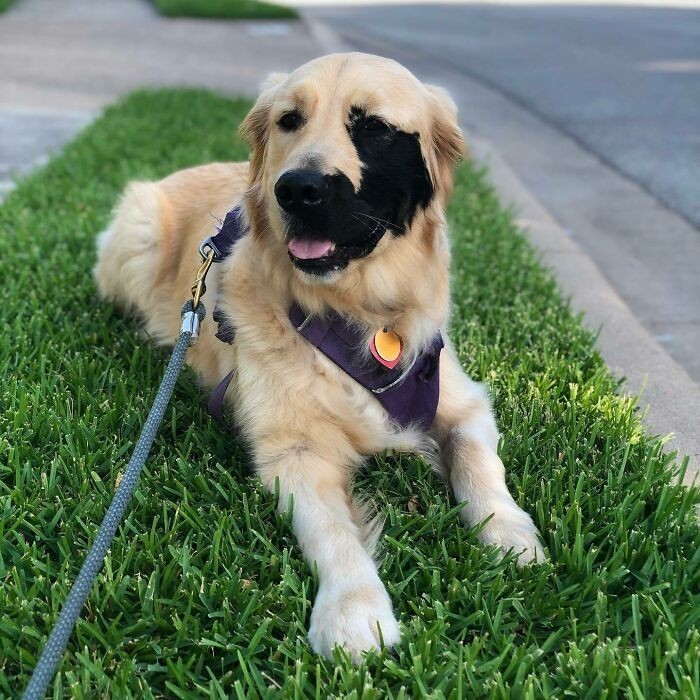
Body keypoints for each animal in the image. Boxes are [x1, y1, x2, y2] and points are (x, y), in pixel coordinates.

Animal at [94, 52, 540, 660]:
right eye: (290, 120)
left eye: (374, 127)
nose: (299, 190)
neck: (355, 311)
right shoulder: (292, 449)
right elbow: (331, 530)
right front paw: (354, 611)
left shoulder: (461, 399)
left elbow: (480, 464)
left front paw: (509, 533)